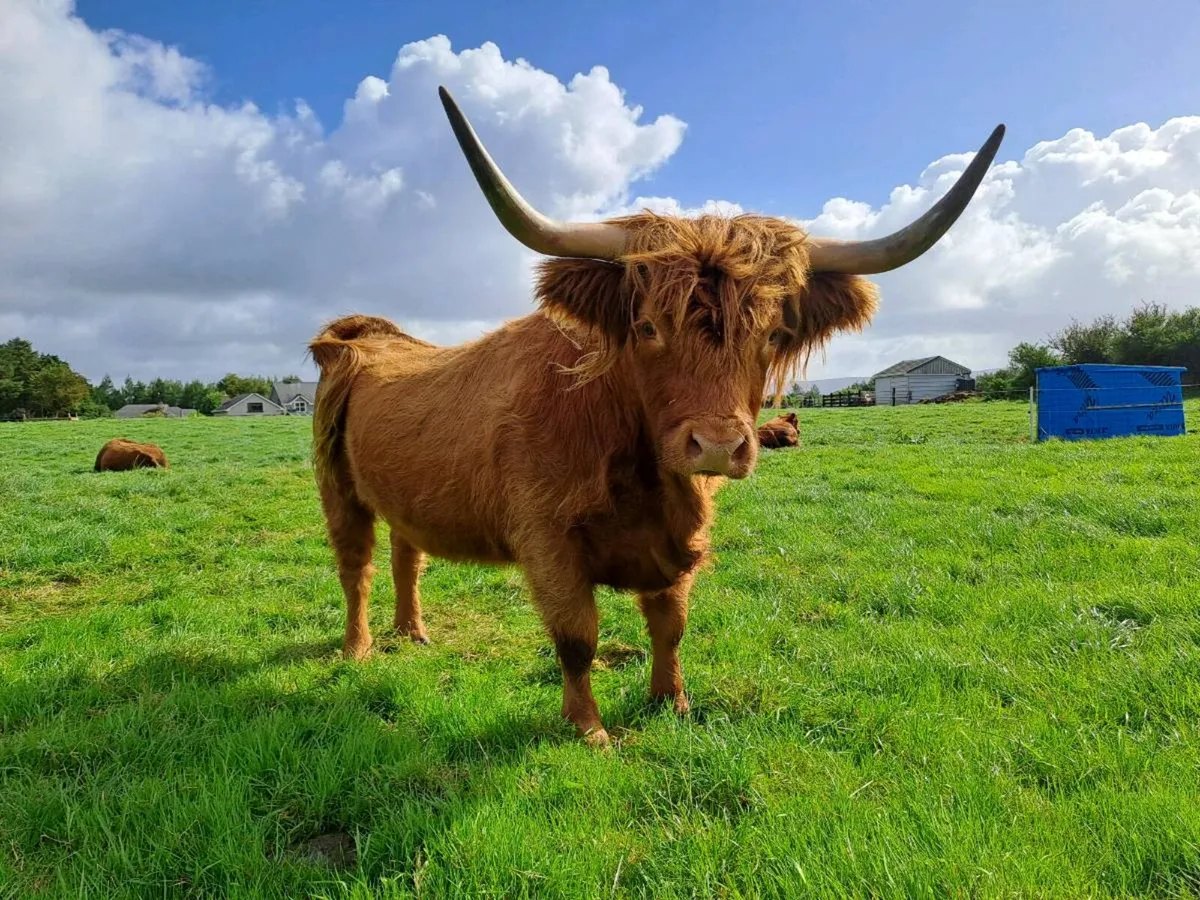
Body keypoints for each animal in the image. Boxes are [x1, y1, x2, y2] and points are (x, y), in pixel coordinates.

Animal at [308, 86, 1003, 746]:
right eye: (645, 327)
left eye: (774, 334)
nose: (717, 446)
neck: (638, 472)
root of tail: (364, 336)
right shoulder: (548, 540)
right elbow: (577, 638)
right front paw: (589, 730)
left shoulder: (679, 540)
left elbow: (670, 625)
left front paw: (672, 702)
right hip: (338, 488)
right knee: (356, 566)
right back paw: (359, 648)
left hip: (401, 490)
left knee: (407, 553)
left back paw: (414, 632)